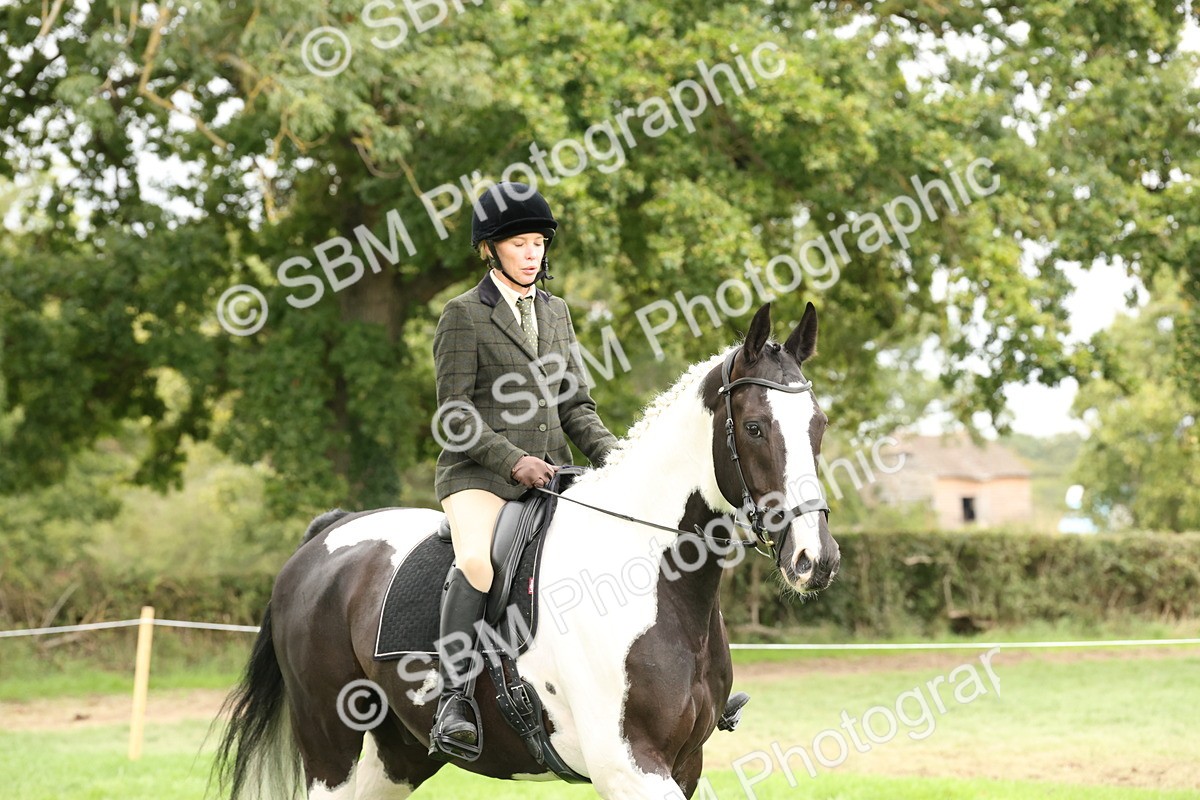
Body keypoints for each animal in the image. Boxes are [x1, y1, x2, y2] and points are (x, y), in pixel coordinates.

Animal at [213, 301, 839, 799]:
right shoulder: (632, 768)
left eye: (820, 425)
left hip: (395, 758)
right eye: (754, 427)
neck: (651, 579)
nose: (816, 560)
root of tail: (328, 535)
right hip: (331, 746)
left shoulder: (685, 764)